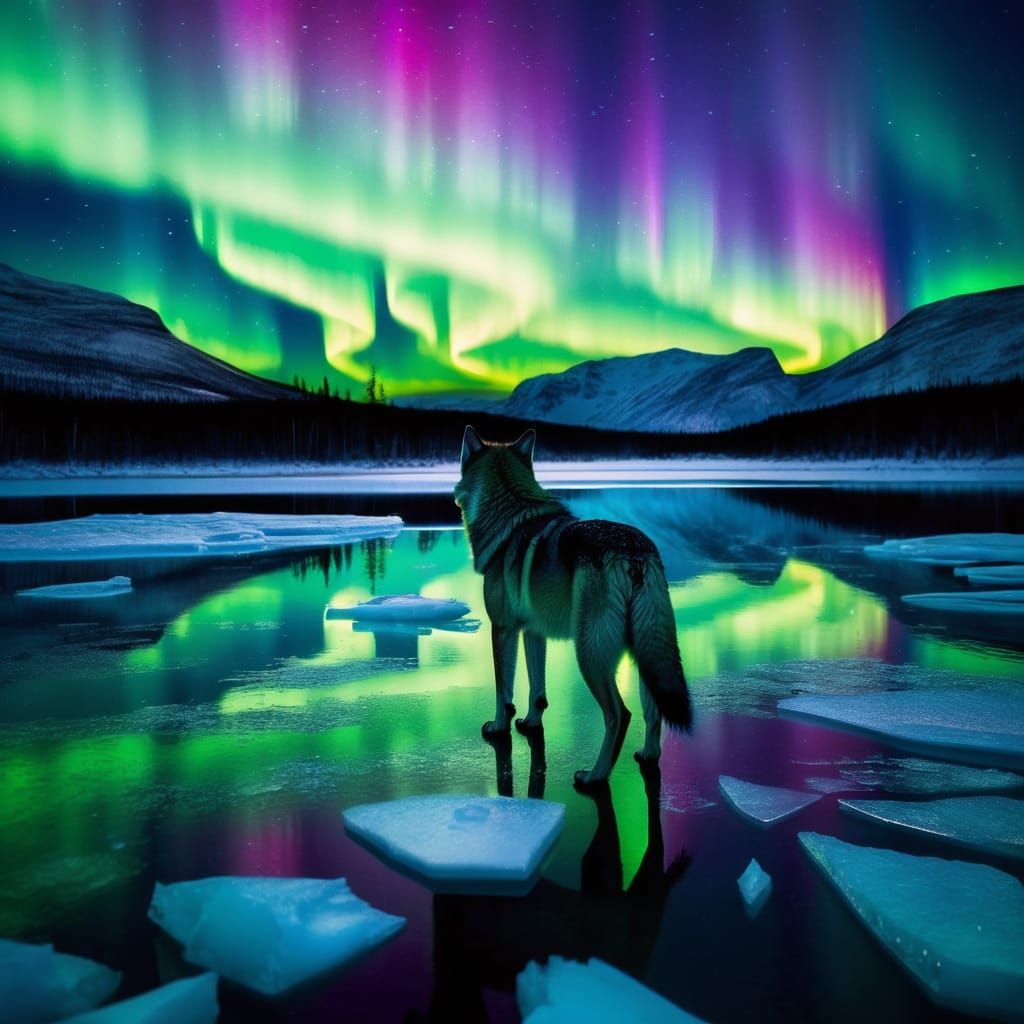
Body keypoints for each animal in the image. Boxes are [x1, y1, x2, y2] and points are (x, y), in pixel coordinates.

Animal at [454, 425, 691, 787]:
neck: (510, 513)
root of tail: (634, 554)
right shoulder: (533, 632)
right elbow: (537, 691)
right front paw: (530, 723)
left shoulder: (503, 629)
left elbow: (502, 690)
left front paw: (498, 728)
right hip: (645, 652)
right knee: (653, 713)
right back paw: (646, 756)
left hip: (589, 656)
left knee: (620, 715)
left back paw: (593, 776)